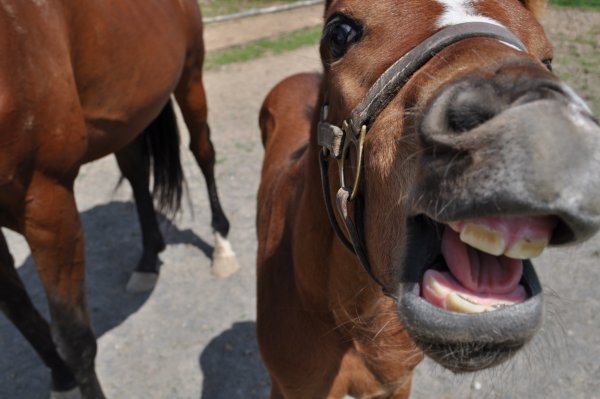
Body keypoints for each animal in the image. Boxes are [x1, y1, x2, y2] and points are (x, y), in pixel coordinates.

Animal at [0, 0, 239, 399]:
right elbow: (23, 315)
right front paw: (61, 379)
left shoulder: (47, 200)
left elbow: (74, 339)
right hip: (126, 117)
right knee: (137, 172)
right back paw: (148, 258)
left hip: (190, 75)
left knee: (203, 151)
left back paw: (221, 244)